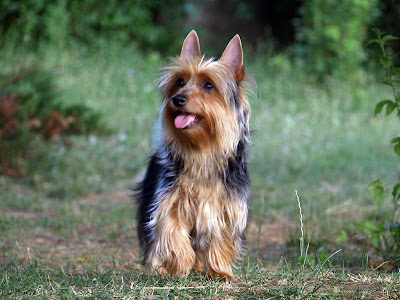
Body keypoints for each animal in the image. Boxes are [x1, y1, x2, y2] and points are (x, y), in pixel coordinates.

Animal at [137, 29, 253, 280]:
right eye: (179, 82)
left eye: (209, 86)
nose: (177, 99)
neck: (203, 151)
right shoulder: (169, 200)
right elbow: (171, 230)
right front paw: (180, 265)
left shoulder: (227, 208)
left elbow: (221, 240)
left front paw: (219, 271)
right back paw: (160, 268)